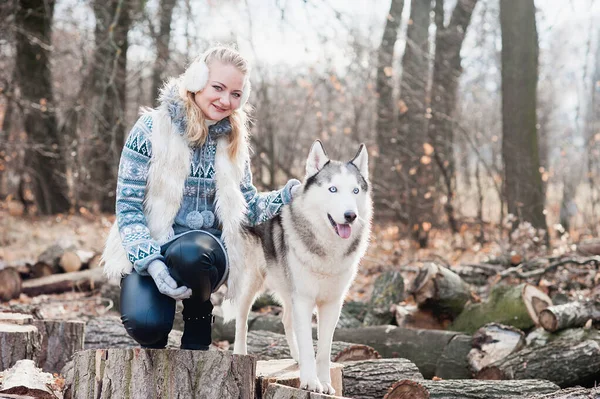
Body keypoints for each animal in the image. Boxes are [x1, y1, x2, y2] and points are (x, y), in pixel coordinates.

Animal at [229, 141, 370, 394]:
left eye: (355, 191)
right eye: (333, 189)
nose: (350, 215)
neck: (327, 249)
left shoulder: (331, 304)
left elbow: (323, 351)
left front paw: (325, 383)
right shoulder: (304, 300)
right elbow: (308, 346)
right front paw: (310, 382)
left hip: (288, 291)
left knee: (286, 320)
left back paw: (295, 358)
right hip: (252, 285)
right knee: (242, 318)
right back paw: (241, 354)